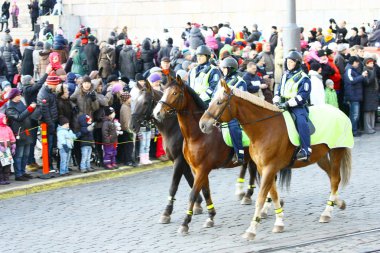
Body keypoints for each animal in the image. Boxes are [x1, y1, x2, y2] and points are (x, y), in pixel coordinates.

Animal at [200, 80, 352, 240]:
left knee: (335, 179)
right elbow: (273, 195)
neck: (265, 129)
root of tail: (340, 112)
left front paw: (252, 230)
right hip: (320, 157)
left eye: (219, 102)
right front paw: (279, 222)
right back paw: (338, 202)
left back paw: (327, 212)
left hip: (337, 151)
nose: (202, 124)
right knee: (331, 177)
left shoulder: (269, 168)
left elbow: (261, 198)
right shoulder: (264, 169)